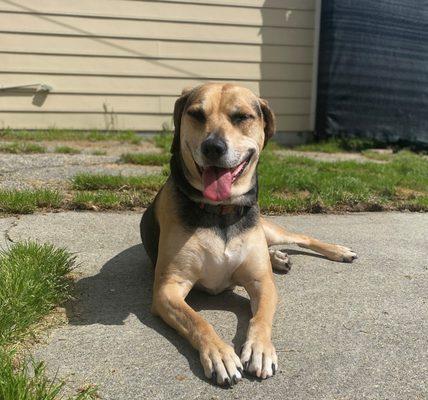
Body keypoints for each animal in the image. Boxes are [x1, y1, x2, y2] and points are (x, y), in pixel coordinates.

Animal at [140, 83, 354, 388]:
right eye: (196, 114)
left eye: (241, 116)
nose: (213, 147)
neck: (220, 211)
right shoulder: (167, 289)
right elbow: (198, 321)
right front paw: (220, 354)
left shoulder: (261, 282)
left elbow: (261, 318)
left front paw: (260, 349)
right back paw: (279, 258)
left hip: (268, 228)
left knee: (300, 237)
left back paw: (336, 251)